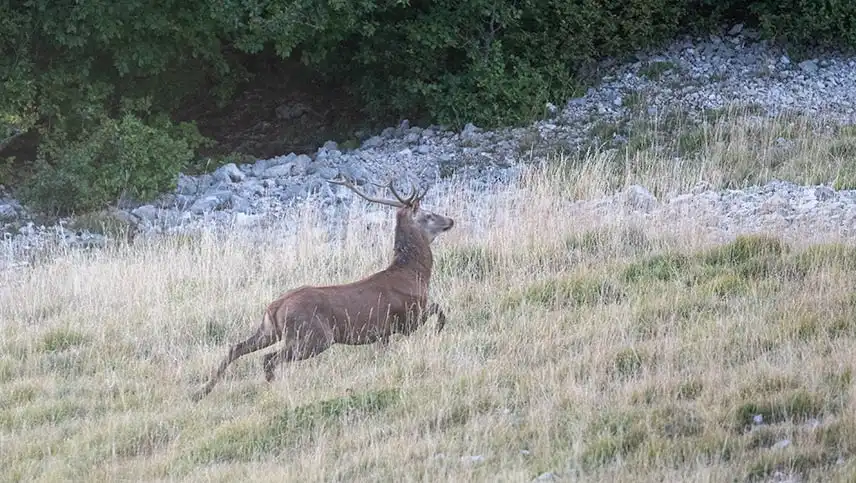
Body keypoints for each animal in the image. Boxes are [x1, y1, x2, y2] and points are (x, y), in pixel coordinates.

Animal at [191, 176, 455, 401]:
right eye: (429, 215)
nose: (450, 220)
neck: (415, 275)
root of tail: (275, 307)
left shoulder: (385, 333)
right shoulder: (409, 317)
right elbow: (439, 309)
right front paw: (439, 331)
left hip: (269, 330)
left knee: (236, 347)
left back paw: (202, 391)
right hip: (314, 335)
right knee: (269, 358)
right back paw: (270, 386)